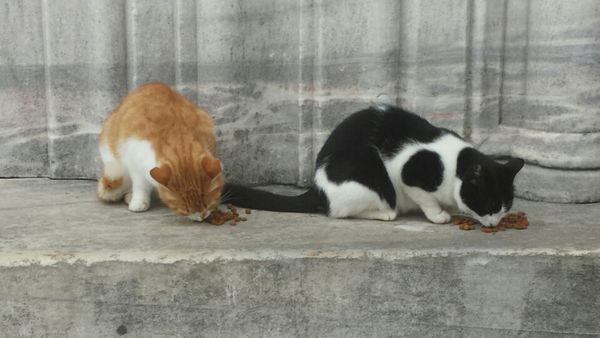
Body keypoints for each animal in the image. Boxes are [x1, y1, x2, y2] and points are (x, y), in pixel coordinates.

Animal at [97, 82, 224, 222]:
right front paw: (139, 201)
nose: (201, 217)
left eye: (208, 204)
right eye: (186, 210)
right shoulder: (134, 162)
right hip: (114, 162)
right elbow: (140, 186)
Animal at [223, 105, 524, 227]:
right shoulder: (408, 172)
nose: (494, 223)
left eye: (505, 207)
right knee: (341, 211)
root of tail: (317, 187)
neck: (455, 165)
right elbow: (425, 198)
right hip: (369, 175)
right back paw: (387, 213)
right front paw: (438, 214)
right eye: (489, 205)